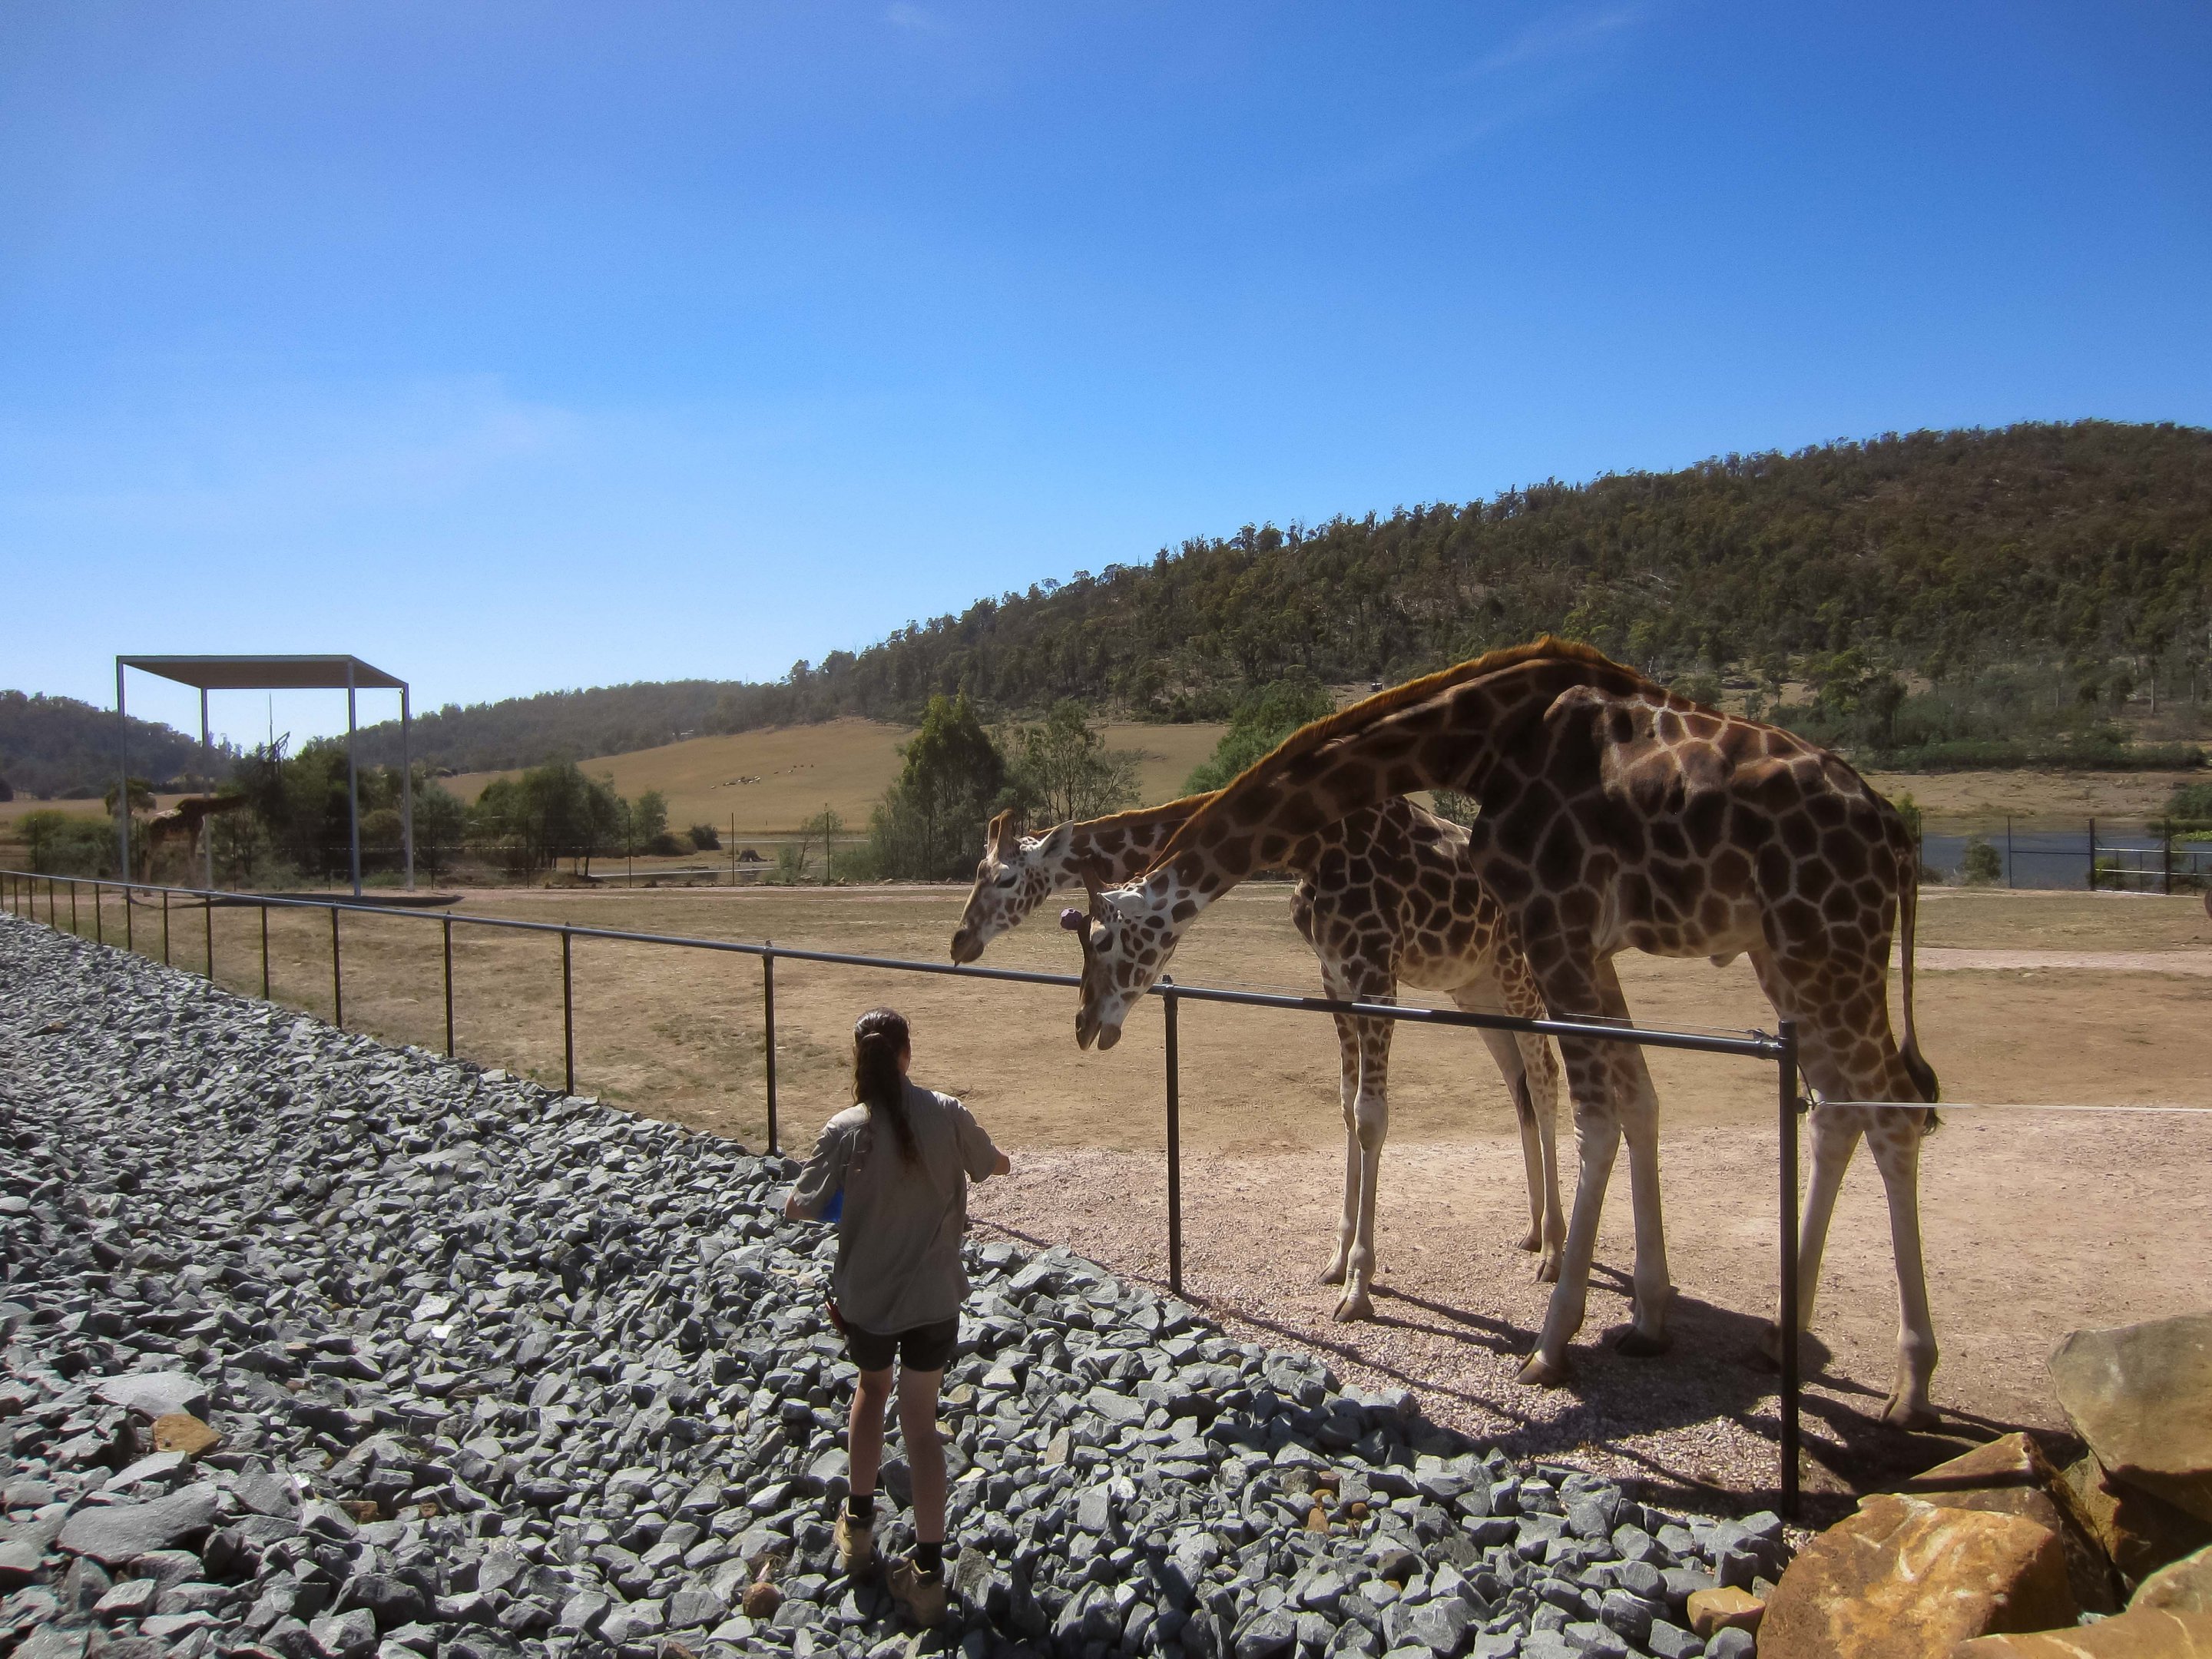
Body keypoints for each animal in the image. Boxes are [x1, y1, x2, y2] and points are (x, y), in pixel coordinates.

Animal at [951, 794, 1569, 1315]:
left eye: (1002, 877)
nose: (959, 942)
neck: (1313, 846)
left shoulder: (1376, 972)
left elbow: (1371, 1117)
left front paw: (1358, 1286)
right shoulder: (1334, 976)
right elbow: (1347, 1107)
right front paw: (1336, 1262)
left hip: (1518, 975)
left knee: (1545, 1076)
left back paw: (1555, 1254)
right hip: (1476, 988)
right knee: (1518, 1081)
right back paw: (1534, 1230)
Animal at [1062, 639, 1943, 1427]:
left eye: (1102, 941)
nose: (1082, 1025)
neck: (1478, 743)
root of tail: (1898, 836)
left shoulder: (1512, 937)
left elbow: (1570, 1116)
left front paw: (1507, 1330)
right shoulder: (1360, 975)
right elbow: (1627, 1099)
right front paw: (1647, 1314)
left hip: (1817, 944)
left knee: (1890, 1106)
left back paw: (1908, 1385)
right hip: (1774, 957)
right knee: (1834, 1108)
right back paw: (1769, 1336)